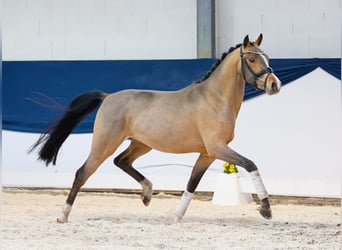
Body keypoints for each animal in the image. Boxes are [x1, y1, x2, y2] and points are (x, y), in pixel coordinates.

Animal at [29, 33, 280, 223]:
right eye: (252, 59)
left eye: (267, 57)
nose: (274, 85)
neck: (215, 99)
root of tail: (108, 96)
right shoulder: (217, 148)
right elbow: (251, 165)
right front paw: (266, 210)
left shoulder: (208, 153)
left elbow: (192, 183)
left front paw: (176, 217)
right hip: (104, 144)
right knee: (83, 173)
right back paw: (63, 215)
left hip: (141, 144)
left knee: (121, 161)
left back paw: (147, 194)